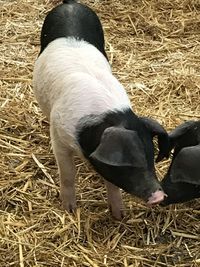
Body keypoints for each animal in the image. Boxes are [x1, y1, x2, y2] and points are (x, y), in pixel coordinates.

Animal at [32, 0, 169, 220]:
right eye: (131, 164)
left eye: (151, 157)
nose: (159, 196)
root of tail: (70, 3)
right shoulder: (59, 137)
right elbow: (68, 175)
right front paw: (69, 211)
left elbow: (111, 183)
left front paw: (119, 215)